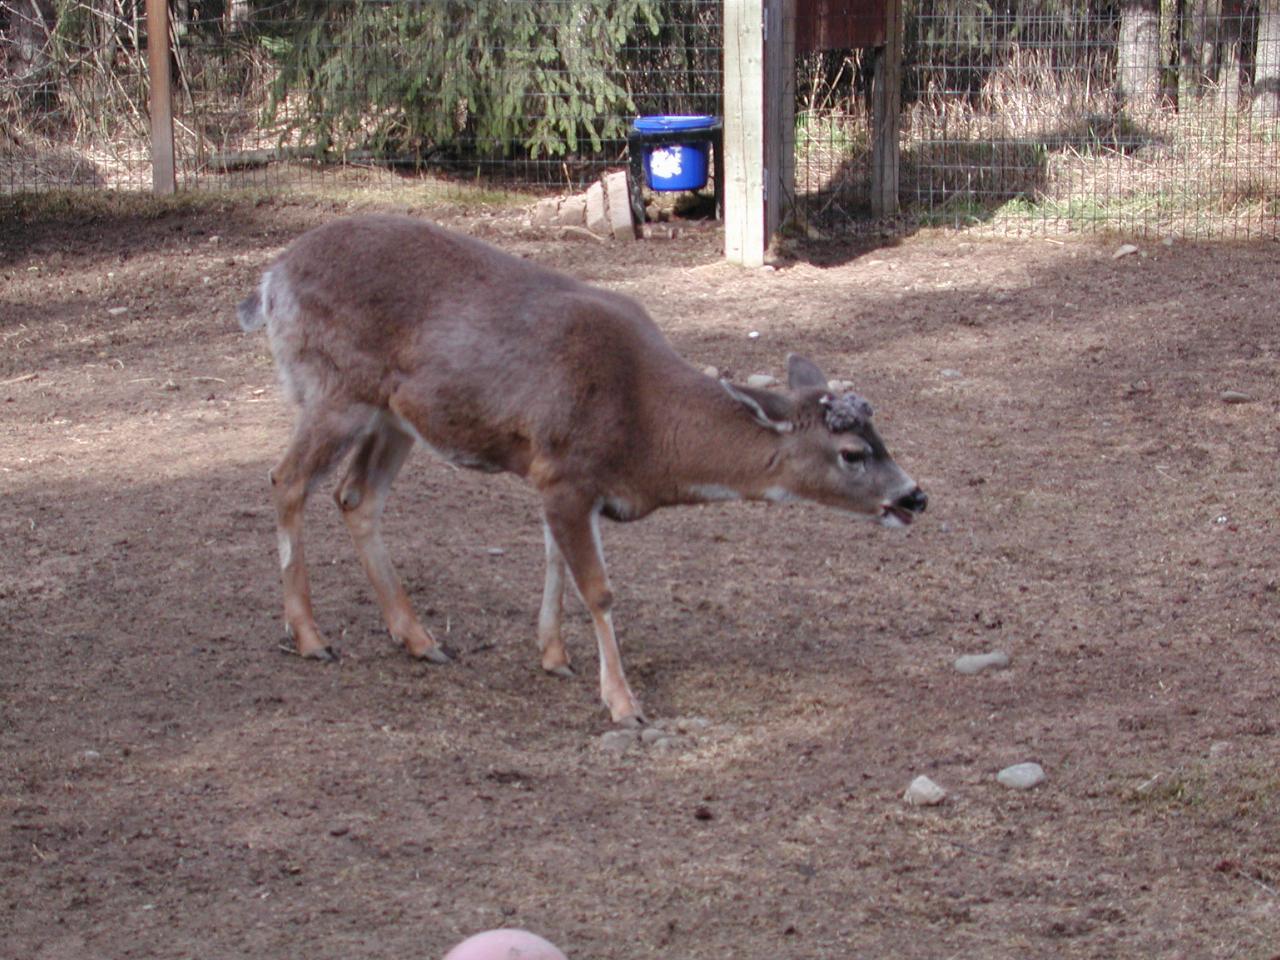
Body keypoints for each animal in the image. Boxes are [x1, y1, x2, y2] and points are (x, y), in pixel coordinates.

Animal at [238, 213, 921, 727]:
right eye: (852, 453)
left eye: (879, 433)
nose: (914, 496)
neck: (647, 430)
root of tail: (271, 281)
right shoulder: (568, 470)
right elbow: (599, 588)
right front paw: (622, 702)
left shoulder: (556, 477)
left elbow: (554, 562)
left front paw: (554, 655)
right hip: (334, 390)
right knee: (287, 481)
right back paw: (312, 638)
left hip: (394, 417)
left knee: (356, 497)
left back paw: (422, 640)